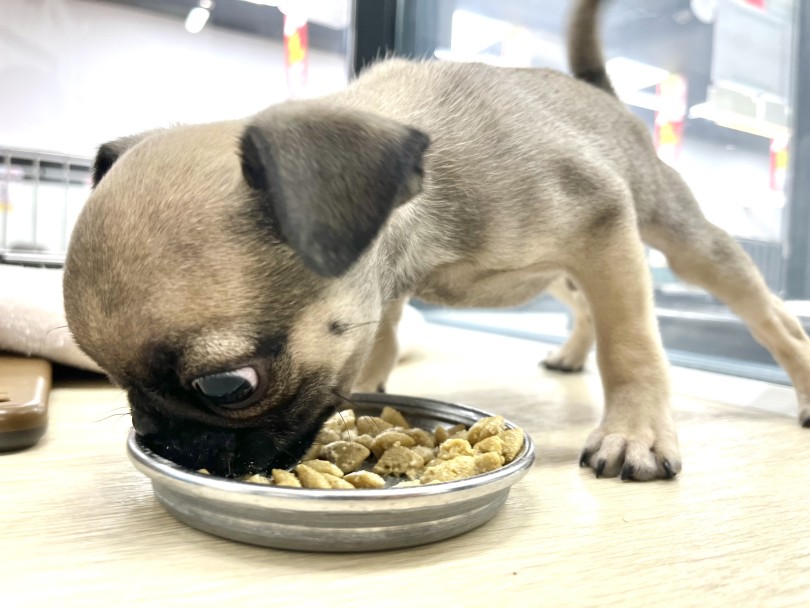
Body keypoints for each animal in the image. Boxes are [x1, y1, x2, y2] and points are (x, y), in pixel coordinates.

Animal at [61, 1, 808, 484]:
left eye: (225, 385)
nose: (163, 442)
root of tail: (600, 95)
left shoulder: (604, 231)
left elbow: (632, 346)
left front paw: (636, 433)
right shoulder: (389, 283)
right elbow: (381, 335)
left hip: (676, 236)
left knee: (768, 318)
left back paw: (797, 381)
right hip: (568, 267)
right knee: (580, 304)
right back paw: (569, 352)